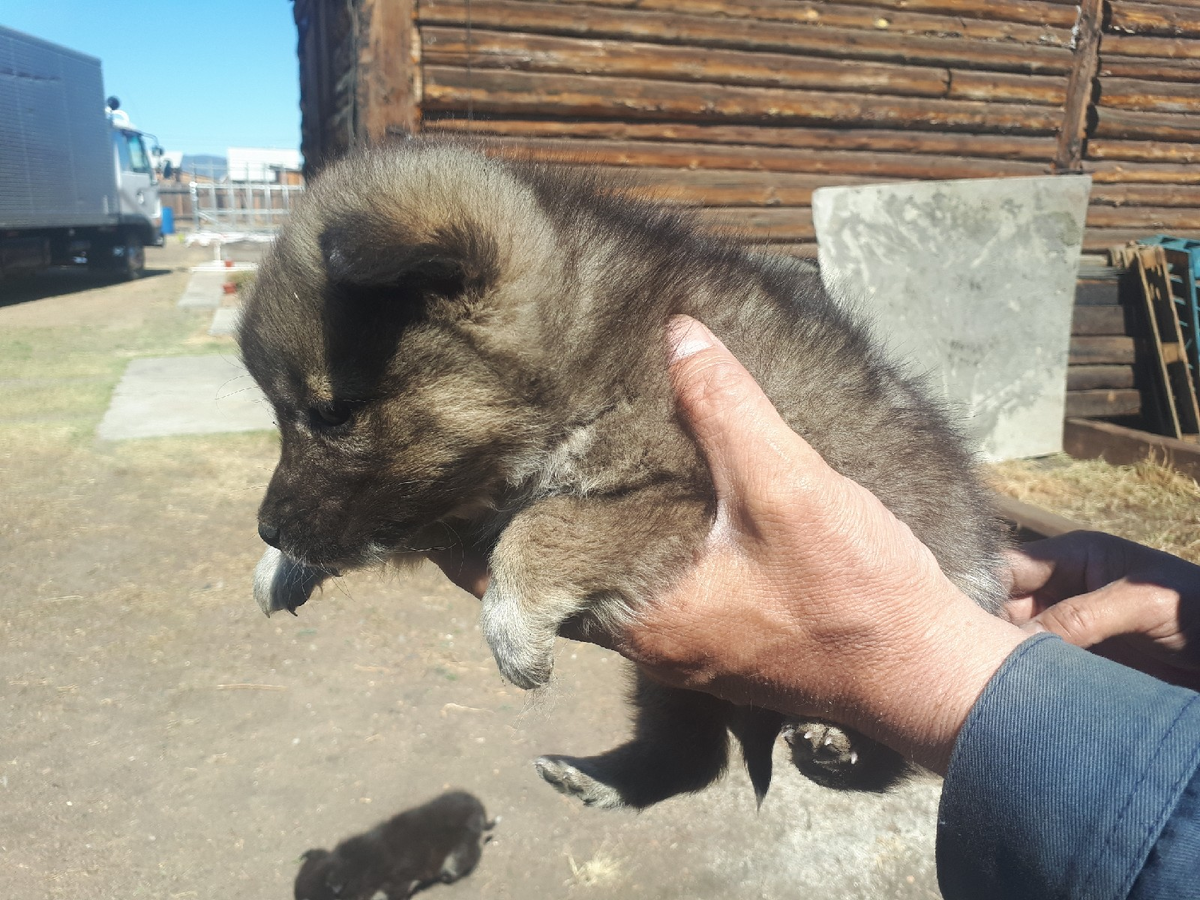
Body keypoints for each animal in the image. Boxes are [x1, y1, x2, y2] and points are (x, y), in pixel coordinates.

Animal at [238, 141, 1008, 811]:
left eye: (333, 414)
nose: (266, 527)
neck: (582, 345)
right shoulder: (442, 511)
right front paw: (282, 566)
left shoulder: (686, 491)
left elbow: (544, 524)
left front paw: (512, 628)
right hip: (672, 682)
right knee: (692, 758)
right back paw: (595, 781)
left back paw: (831, 735)